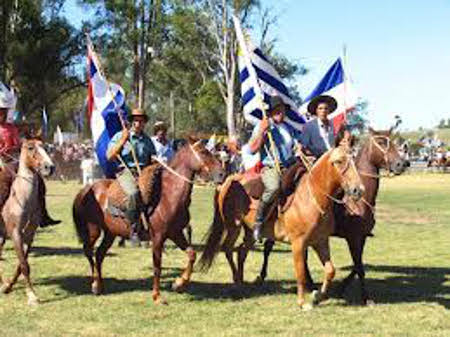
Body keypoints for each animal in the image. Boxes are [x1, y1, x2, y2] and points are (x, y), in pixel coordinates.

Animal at [0, 137, 55, 304]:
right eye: (30, 147)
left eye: (45, 147)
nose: (49, 167)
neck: (23, 200)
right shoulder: (15, 233)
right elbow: (24, 265)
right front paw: (31, 296)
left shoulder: (29, 235)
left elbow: (22, 263)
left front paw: (10, 286)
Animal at [73, 138, 225, 304]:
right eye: (203, 152)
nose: (222, 173)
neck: (168, 197)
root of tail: (88, 188)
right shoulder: (158, 237)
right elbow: (157, 266)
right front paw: (157, 296)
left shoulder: (176, 233)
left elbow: (192, 254)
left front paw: (179, 284)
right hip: (93, 229)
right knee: (89, 251)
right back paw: (95, 284)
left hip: (110, 233)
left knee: (99, 254)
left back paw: (99, 286)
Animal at [199, 135, 364, 308]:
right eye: (339, 161)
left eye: (353, 159)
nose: (358, 190)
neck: (313, 197)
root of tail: (229, 180)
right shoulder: (298, 243)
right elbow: (300, 273)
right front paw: (302, 303)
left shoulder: (321, 241)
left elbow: (330, 270)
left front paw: (317, 296)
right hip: (233, 226)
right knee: (228, 248)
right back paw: (237, 281)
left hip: (250, 232)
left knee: (241, 251)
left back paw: (241, 281)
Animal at [256, 127, 408, 304]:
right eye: (382, 142)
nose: (401, 164)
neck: (357, 203)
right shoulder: (353, 237)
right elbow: (359, 267)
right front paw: (365, 297)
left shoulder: (361, 237)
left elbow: (357, 265)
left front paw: (341, 288)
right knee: (268, 248)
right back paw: (263, 276)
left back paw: (309, 283)